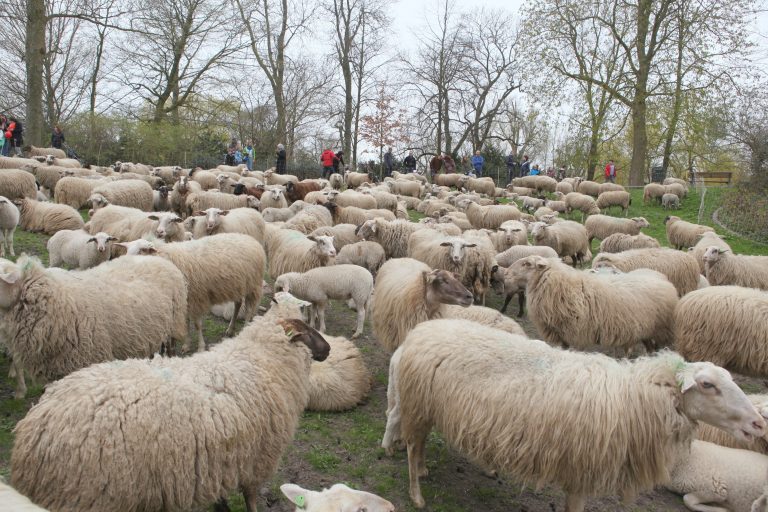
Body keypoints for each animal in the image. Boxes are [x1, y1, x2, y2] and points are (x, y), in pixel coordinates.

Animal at [11, 308, 330, 512]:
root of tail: (33, 432)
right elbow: (251, 499)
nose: (327, 349)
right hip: (92, 497)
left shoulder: (223, 459)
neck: (261, 359)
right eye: (305, 331)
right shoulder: (257, 458)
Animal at [392, 318, 764, 510]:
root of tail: (421, 330)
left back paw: (423, 470)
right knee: (410, 447)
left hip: (426, 407)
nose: (758, 423)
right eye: (707, 385)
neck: (633, 398)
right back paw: (417, 495)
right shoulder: (581, 469)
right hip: (418, 403)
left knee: (419, 444)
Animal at [512, 255, 676, 354]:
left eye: (527, 264)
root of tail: (662, 277)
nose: (507, 271)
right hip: (647, 329)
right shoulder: (562, 335)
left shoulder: (575, 333)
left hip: (660, 330)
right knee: (650, 348)